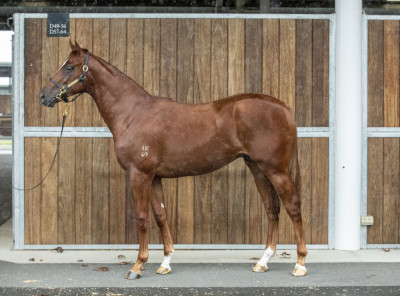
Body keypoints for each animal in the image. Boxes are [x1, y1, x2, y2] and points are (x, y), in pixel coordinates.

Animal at [39, 42, 306, 280]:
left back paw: (300, 264)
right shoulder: (155, 177)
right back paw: (263, 262)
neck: (133, 113)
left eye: (69, 67)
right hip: (257, 168)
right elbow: (161, 216)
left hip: (276, 170)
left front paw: (138, 266)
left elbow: (142, 218)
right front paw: (165, 263)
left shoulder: (140, 174)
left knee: (292, 205)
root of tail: (283, 107)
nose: (43, 96)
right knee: (272, 208)